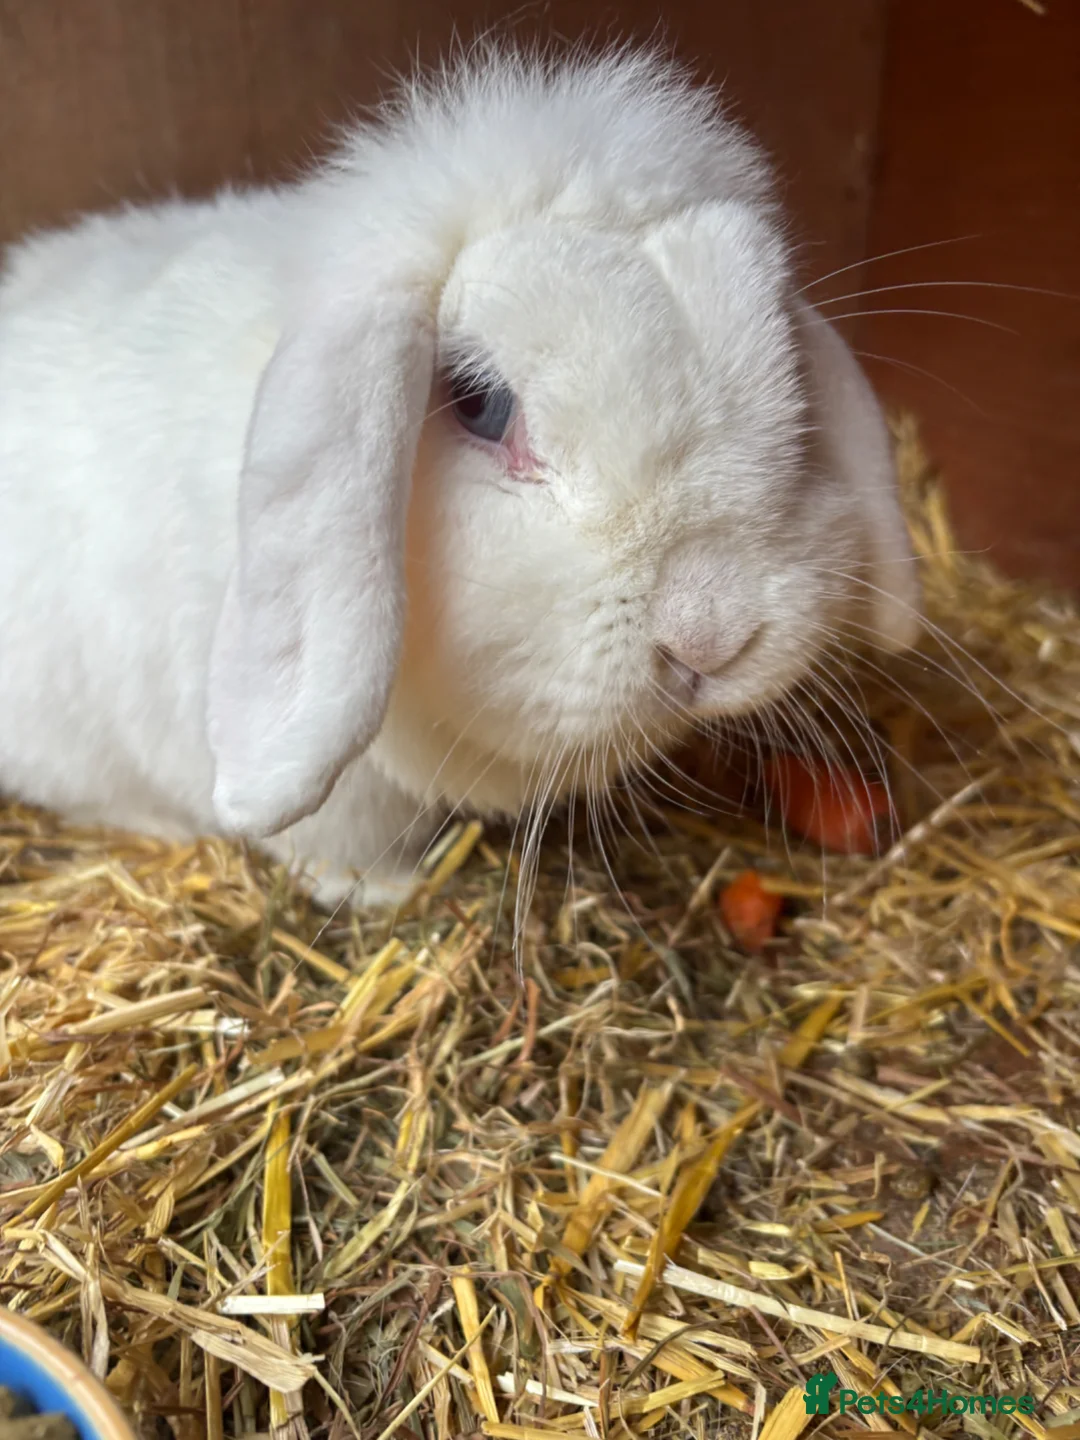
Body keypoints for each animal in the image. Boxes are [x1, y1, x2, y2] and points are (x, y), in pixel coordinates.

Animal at [0, 43, 920, 911]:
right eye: (480, 405)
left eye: (789, 376)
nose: (709, 638)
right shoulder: (343, 804)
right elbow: (333, 846)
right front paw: (386, 894)